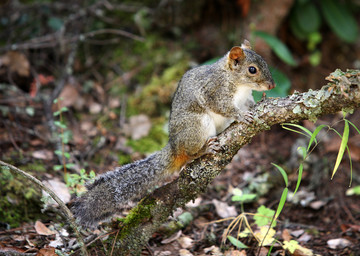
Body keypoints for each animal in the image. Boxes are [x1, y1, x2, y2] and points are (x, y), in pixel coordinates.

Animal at [73, 39, 276, 227]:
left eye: (265, 62)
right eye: (252, 70)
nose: (272, 86)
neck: (237, 83)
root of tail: (174, 146)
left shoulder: (245, 98)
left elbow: (249, 103)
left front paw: (260, 103)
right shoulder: (214, 91)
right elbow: (223, 107)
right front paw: (240, 115)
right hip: (196, 126)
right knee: (189, 154)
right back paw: (203, 150)